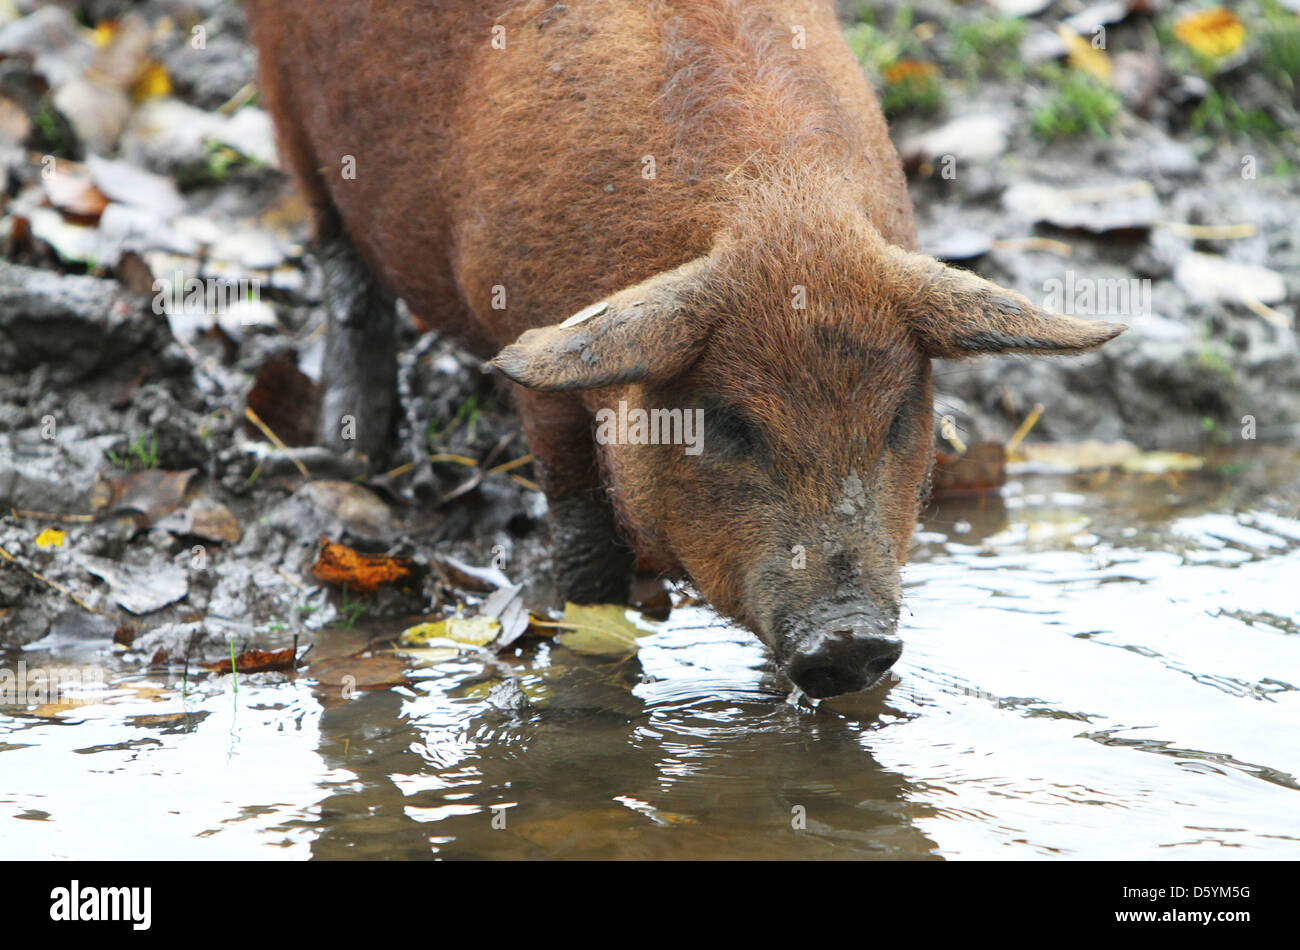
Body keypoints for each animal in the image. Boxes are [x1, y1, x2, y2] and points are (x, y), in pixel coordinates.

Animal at [248, 0, 1123, 696]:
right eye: (729, 424)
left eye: (900, 419)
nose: (850, 639)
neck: (780, 204)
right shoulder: (538, 356)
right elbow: (583, 540)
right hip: (286, 105)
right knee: (341, 263)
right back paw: (348, 452)